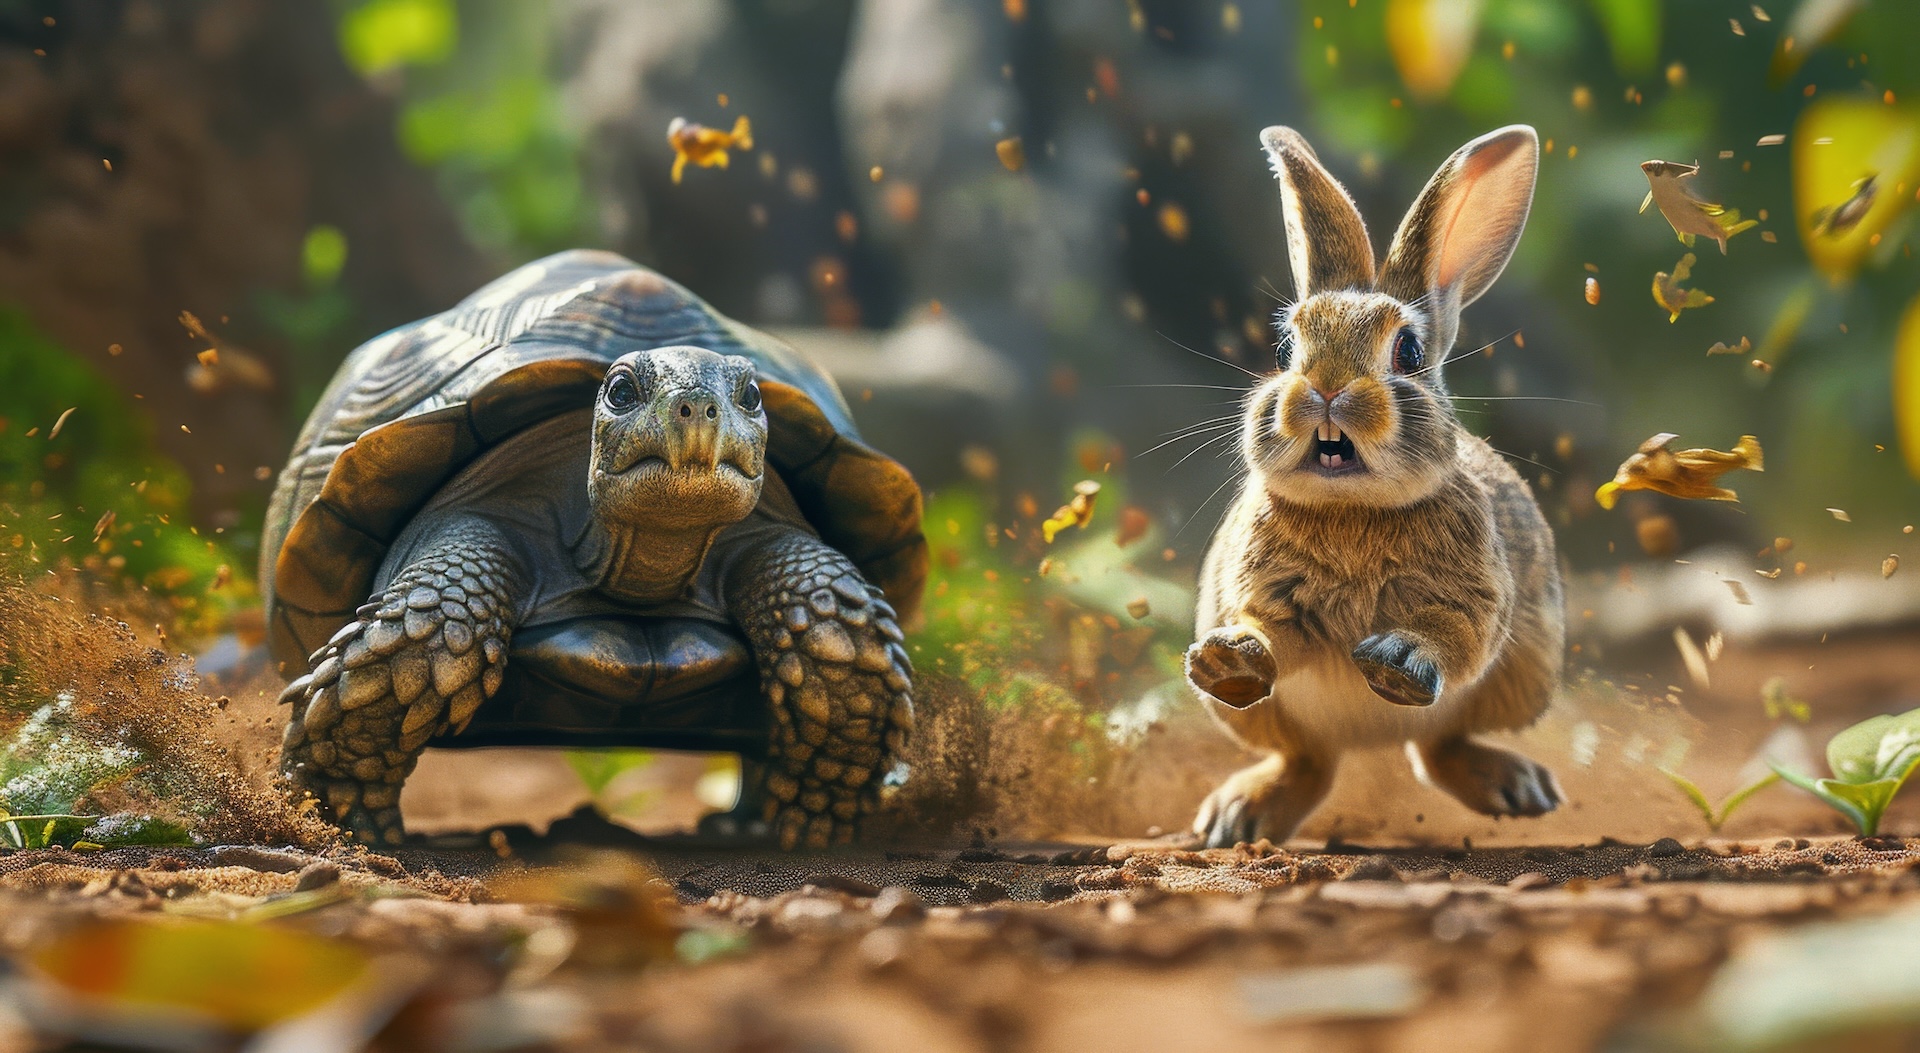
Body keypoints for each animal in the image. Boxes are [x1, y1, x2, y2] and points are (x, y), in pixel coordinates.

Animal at [1183, 124, 1565, 848]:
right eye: (1285, 350)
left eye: (1408, 353)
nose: (1327, 389)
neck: (1351, 509)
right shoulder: (1268, 594)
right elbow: (1273, 632)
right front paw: (1231, 658)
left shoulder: (1476, 596)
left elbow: (1455, 634)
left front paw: (1397, 657)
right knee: (1310, 761)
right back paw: (1234, 817)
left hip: (1523, 674)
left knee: (1438, 748)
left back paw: (1521, 789)